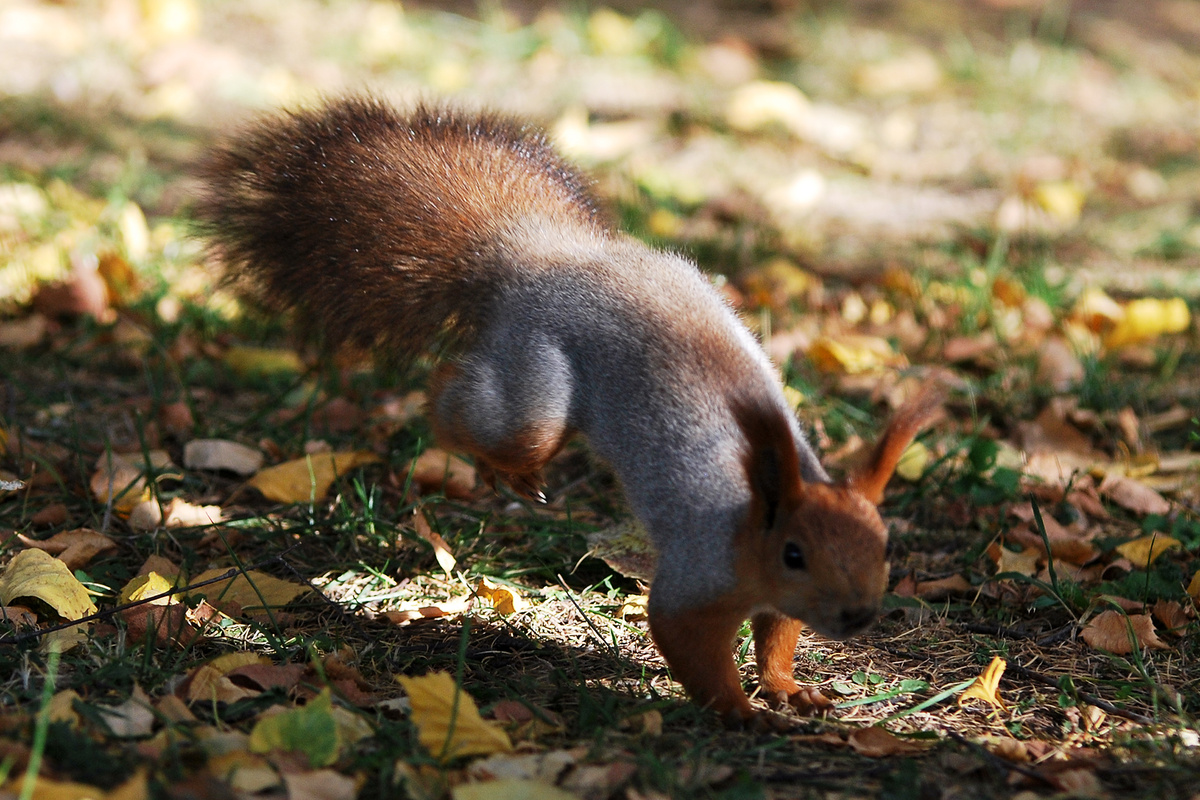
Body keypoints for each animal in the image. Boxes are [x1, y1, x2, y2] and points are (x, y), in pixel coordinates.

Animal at [196, 95, 940, 724]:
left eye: (884, 545)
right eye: (794, 553)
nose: (859, 616)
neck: (755, 509)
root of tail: (538, 258)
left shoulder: (778, 600)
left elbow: (778, 636)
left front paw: (789, 687)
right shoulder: (698, 569)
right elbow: (683, 638)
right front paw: (737, 710)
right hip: (535, 386)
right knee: (466, 410)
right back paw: (497, 458)